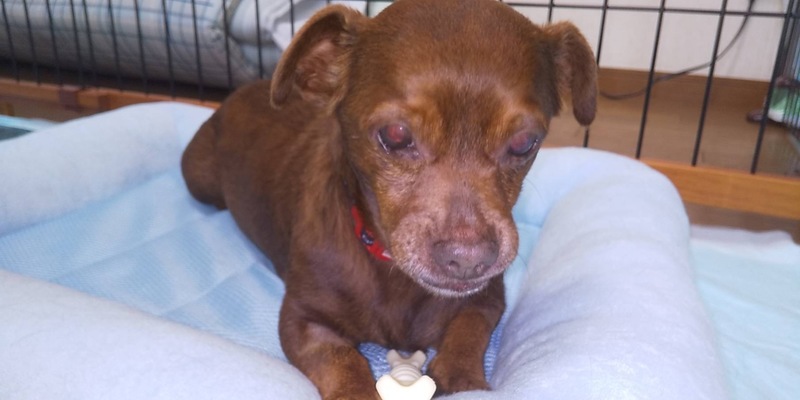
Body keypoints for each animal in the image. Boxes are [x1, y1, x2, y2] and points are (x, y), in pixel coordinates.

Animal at [181, 0, 596, 398]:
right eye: (396, 136)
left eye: (525, 143)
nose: (468, 260)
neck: (391, 269)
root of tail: (241, 90)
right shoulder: (303, 320)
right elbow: (341, 359)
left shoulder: (487, 300)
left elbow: (467, 333)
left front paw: (461, 378)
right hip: (197, 179)